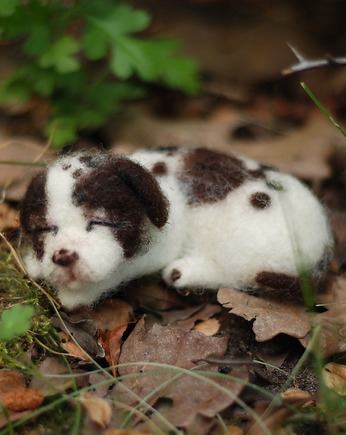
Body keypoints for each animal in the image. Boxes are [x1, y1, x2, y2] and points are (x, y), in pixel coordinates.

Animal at [19, 148, 332, 308]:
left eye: (100, 222)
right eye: (45, 230)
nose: (63, 256)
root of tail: (321, 254)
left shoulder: (159, 247)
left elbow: (117, 272)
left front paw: (75, 295)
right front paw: (35, 264)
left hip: (244, 245)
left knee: (237, 276)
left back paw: (184, 272)